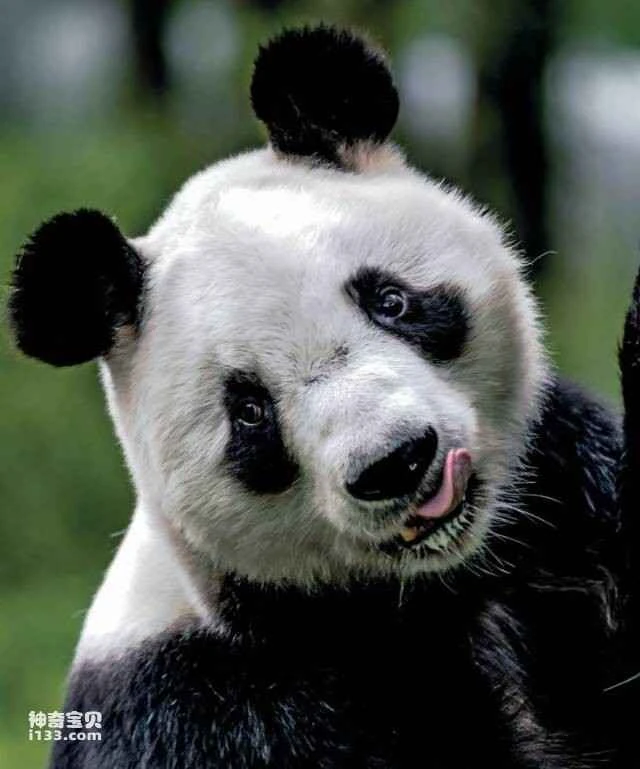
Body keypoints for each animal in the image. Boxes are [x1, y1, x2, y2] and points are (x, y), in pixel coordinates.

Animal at [8, 24, 640, 769]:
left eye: (390, 300)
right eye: (250, 411)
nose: (397, 462)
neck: (439, 585)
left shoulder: (570, 503)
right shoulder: (202, 704)